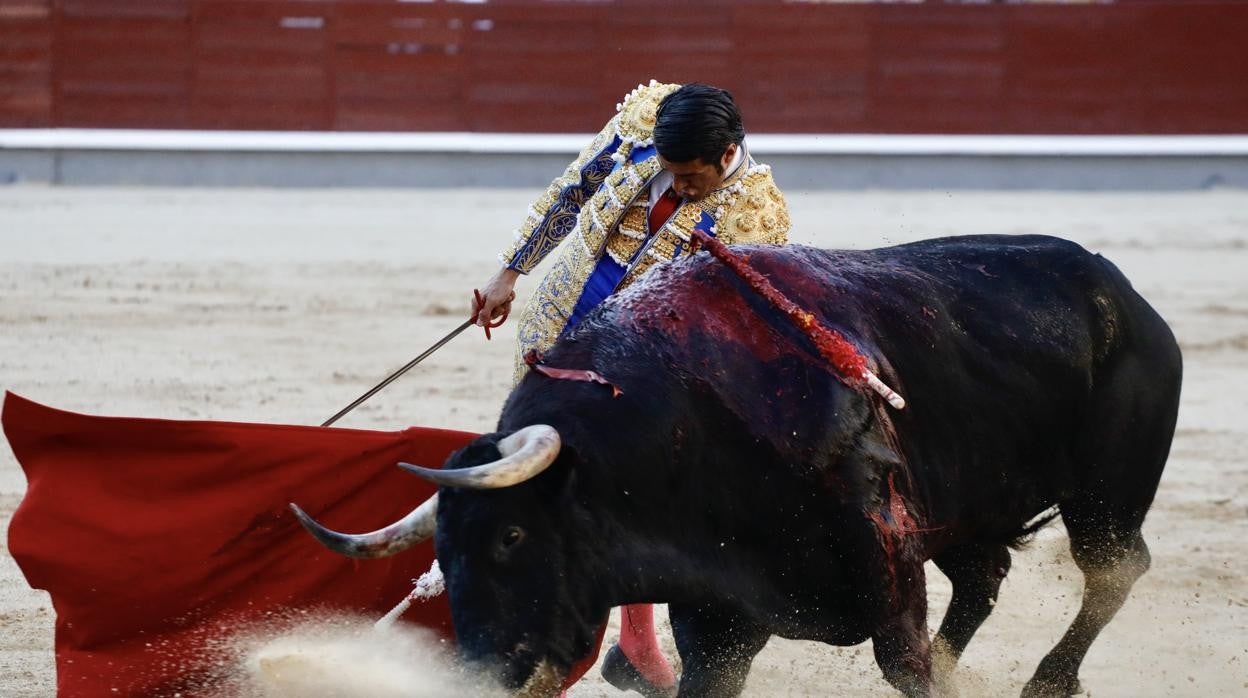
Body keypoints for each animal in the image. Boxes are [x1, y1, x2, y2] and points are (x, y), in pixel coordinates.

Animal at [297, 235, 1173, 698]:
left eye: (511, 537)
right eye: (442, 553)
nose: (476, 672)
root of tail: (1120, 290)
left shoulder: (886, 559)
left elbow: (907, 664)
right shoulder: (717, 612)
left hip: (1106, 494)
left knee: (1112, 569)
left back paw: (1047, 680)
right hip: (967, 507)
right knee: (985, 577)